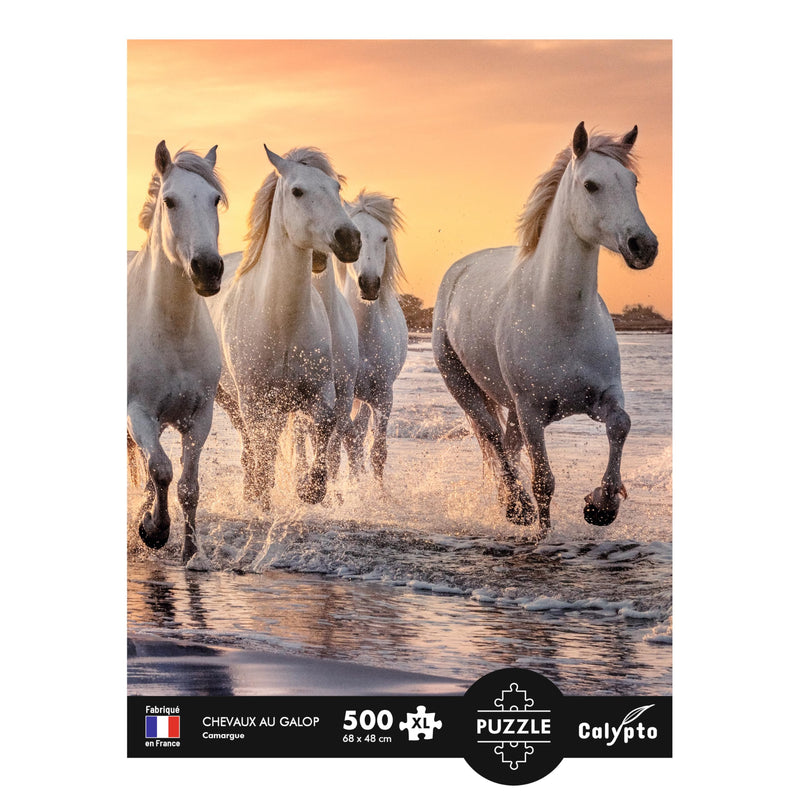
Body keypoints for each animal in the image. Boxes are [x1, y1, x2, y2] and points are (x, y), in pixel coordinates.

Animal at [206, 146, 361, 510]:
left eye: (336, 188)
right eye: (297, 191)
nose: (349, 239)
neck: (282, 322)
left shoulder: (320, 392)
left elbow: (324, 427)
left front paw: (310, 489)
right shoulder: (254, 400)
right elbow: (262, 449)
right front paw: (262, 496)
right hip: (231, 399)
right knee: (251, 444)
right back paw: (252, 492)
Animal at [432, 122, 658, 532]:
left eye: (632, 181)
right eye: (591, 185)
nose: (643, 246)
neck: (561, 318)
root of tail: (458, 271)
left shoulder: (603, 396)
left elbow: (621, 425)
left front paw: (601, 506)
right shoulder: (532, 412)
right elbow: (544, 482)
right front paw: (544, 531)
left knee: (507, 445)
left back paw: (510, 504)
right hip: (463, 385)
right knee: (493, 438)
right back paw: (516, 506)